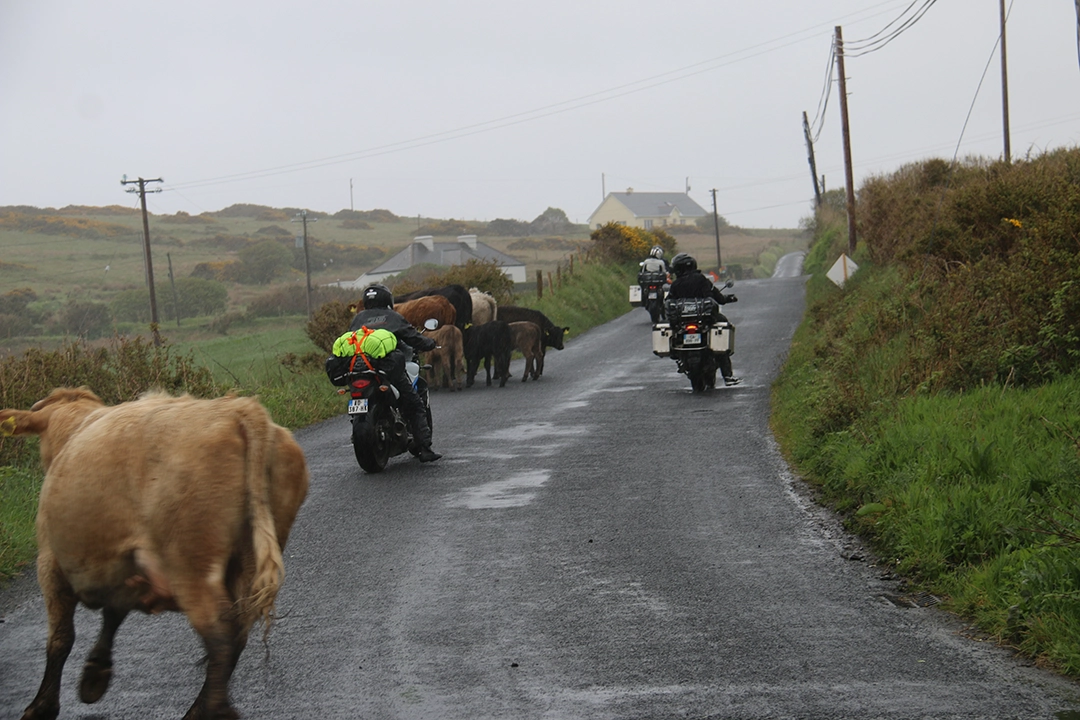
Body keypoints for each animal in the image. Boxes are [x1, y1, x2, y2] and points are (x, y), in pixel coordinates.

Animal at [1, 387, 309, 720]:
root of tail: (238, 410)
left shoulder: (50, 563)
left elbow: (61, 638)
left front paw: (41, 707)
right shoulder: (128, 566)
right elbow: (112, 614)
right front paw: (95, 674)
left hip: (190, 565)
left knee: (221, 637)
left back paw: (214, 710)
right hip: (249, 559)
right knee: (236, 635)